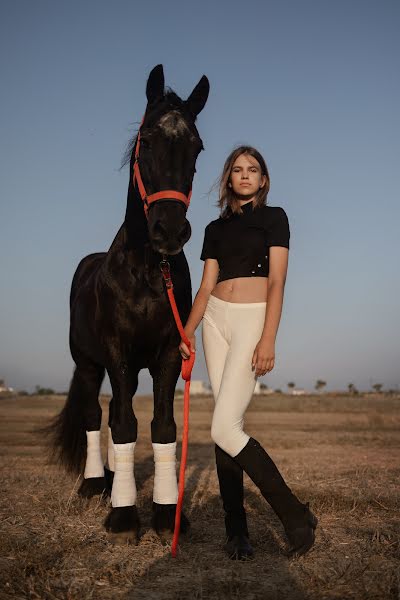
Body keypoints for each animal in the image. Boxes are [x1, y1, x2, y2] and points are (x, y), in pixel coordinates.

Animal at [47, 65, 209, 544]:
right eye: (147, 140)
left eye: (197, 146)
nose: (169, 231)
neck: (149, 272)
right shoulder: (117, 355)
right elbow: (121, 425)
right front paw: (122, 516)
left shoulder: (169, 354)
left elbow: (162, 427)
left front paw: (166, 513)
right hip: (87, 364)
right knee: (91, 415)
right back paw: (95, 485)